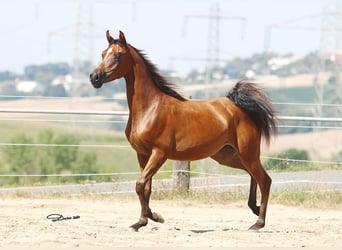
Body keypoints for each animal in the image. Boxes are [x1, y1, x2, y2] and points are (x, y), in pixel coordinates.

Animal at [89, 30, 276, 231]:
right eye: (102, 53)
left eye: (118, 55)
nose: (95, 77)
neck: (150, 108)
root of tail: (241, 107)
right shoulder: (142, 154)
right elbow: (145, 188)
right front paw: (144, 220)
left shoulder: (159, 153)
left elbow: (140, 185)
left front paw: (152, 218)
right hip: (228, 155)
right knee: (253, 175)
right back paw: (254, 208)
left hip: (247, 153)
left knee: (265, 180)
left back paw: (258, 222)